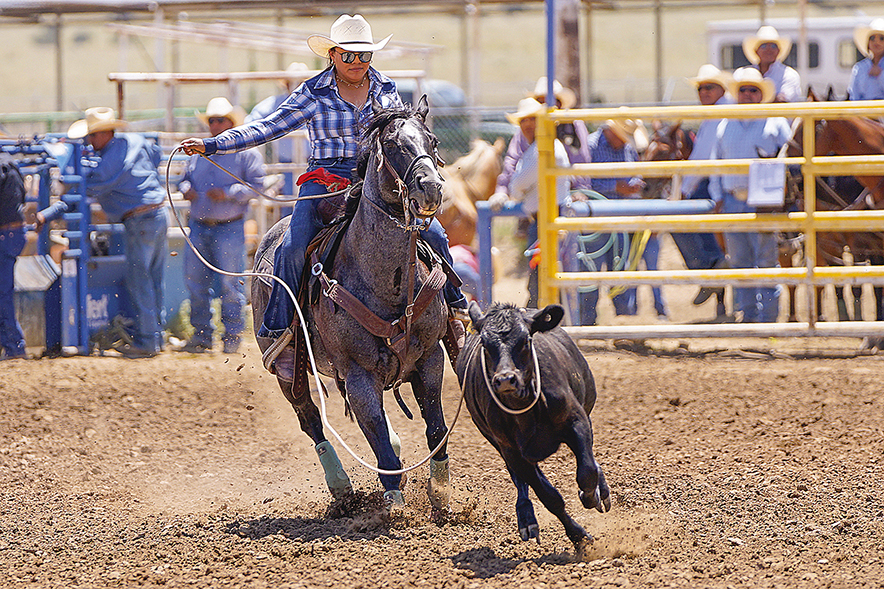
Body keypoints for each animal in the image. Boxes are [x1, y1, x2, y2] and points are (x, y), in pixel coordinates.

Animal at [252, 95, 452, 506]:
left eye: (433, 140)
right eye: (392, 145)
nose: (431, 189)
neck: (388, 285)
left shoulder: (430, 357)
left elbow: (435, 428)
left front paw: (440, 492)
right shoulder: (358, 374)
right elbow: (379, 446)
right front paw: (395, 504)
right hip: (287, 370)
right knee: (310, 419)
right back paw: (340, 485)